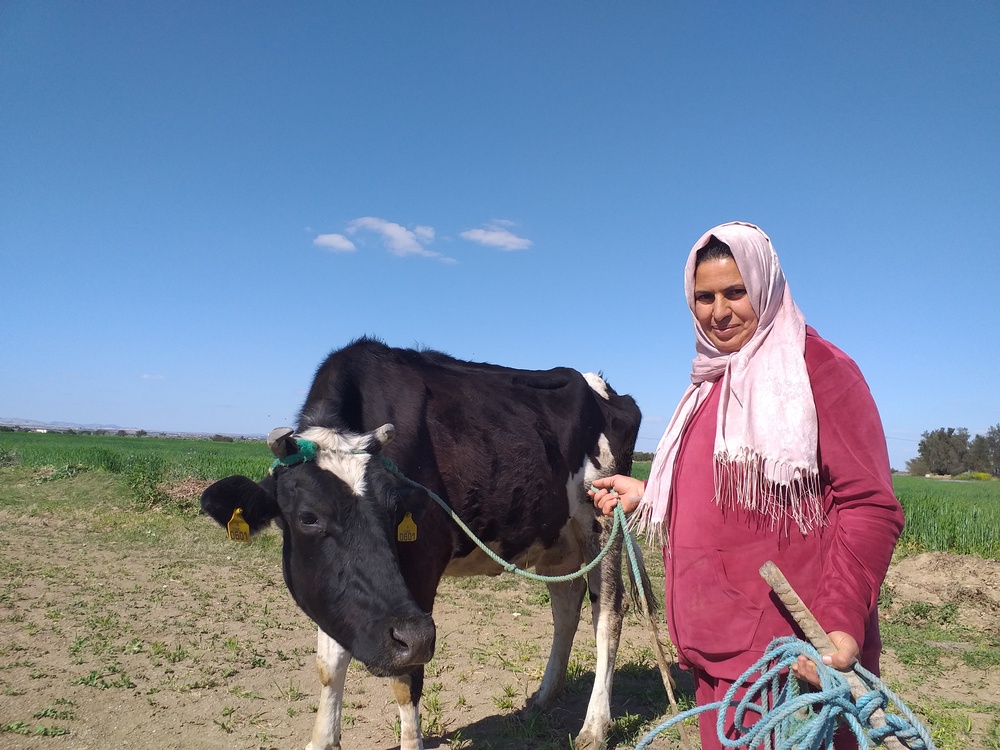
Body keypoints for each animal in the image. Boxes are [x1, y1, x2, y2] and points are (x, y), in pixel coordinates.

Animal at [199, 340, 644, 750]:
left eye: (396, 509)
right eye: (308, 517)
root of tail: (605, 387)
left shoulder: (420, 570)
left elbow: (406, 675)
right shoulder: (338, 591)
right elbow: (329, 664)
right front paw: (322, 740)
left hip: (604, 518)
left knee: (607, 613)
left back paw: (594, 726)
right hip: (556, 537)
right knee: (565, 605)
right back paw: (544, 696)